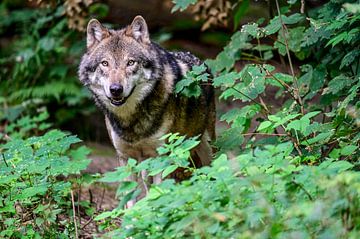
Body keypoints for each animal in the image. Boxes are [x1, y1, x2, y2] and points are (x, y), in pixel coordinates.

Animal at [78, 15, 215, 205]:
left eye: (130, 62)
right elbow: (129, 196)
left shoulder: (161, 155)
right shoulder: (125, 157)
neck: (131, 120)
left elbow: (159, 193)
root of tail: (199, 59)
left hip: (205, 145)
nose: (116, 89)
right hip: (146, 163)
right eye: (104, 63)